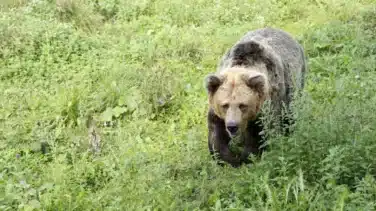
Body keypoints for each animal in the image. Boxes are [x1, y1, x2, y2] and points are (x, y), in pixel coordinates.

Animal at [204, 27, 306, 167]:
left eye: (243, 105)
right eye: (225, 105)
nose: (232, 126)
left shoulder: (267, 104)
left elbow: (259, 134)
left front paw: (247, 157)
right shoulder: (217, 113)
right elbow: (216, 135)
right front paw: (228, 158)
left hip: (296, 81)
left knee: (290, 112)